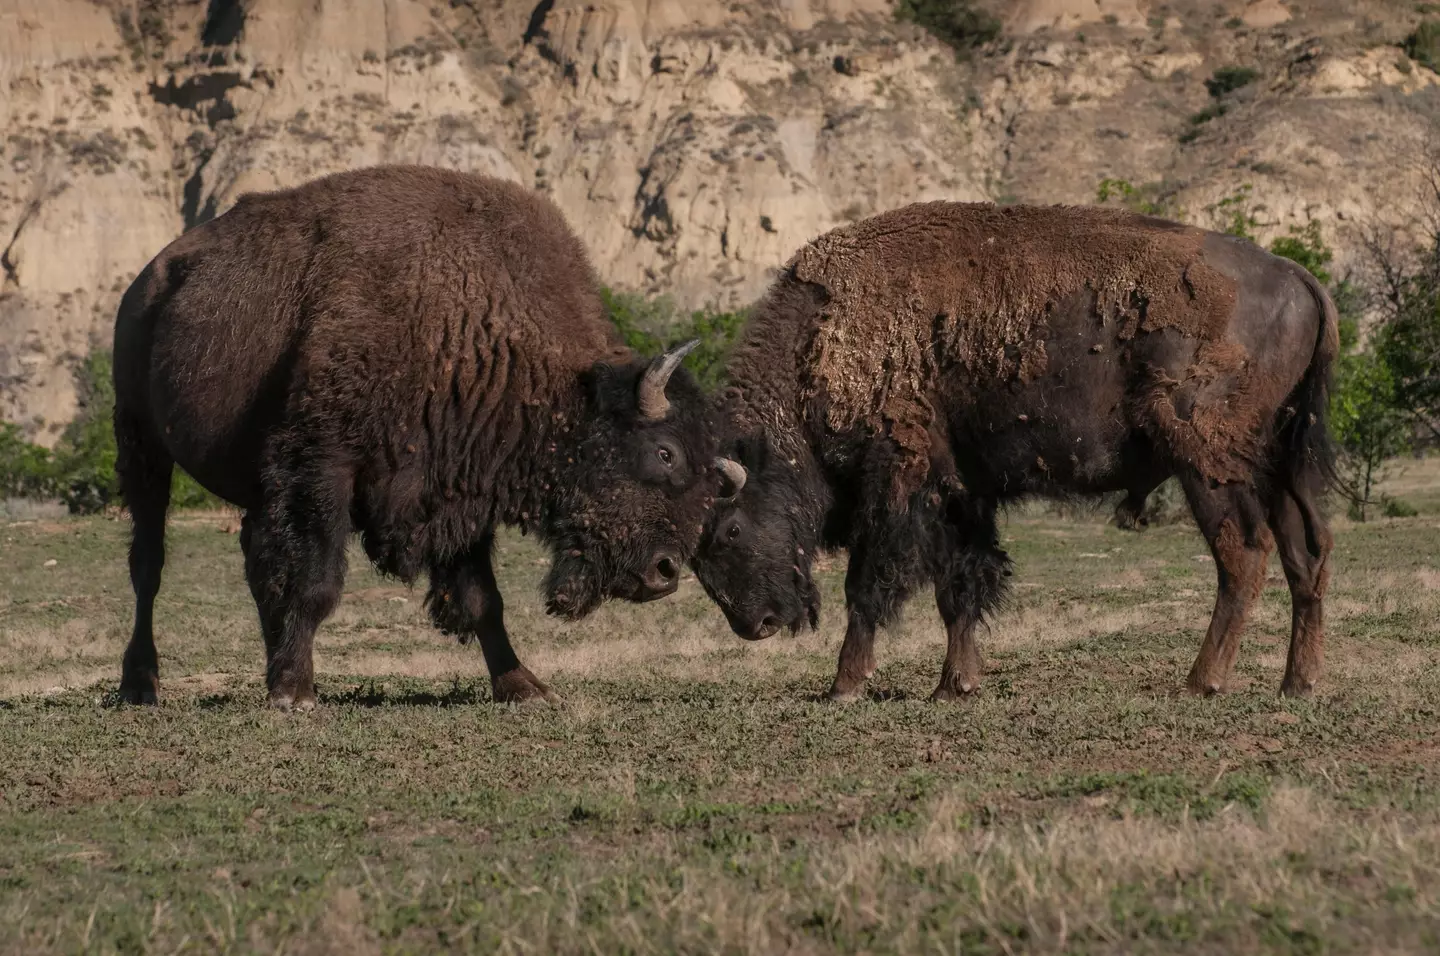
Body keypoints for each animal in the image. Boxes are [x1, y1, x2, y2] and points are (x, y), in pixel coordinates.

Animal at [113, 165, 739, 709]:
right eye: (665, 452)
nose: (665, 573)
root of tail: (148, 280)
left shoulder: (457, 491)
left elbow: (483, 599)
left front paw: (524, 687)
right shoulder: (323, 469)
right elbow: (316, 582)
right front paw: (295, 694)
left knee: (252, 557)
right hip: (141, 443)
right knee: (149, 565)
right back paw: (141, 686)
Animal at [694, 201, 1338, 701]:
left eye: (728, 531)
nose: (756, 624)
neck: (822, 338)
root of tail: (1297, 275)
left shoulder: (897, 483)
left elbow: (868, 585)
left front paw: (845, 686)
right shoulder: (962, 494)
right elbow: (959, 588)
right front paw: (954, 686)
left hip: (1207, 464)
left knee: (1243, 555)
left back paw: (1201, 682)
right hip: (1277, 467)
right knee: (1305, 554)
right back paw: (1297, 683)